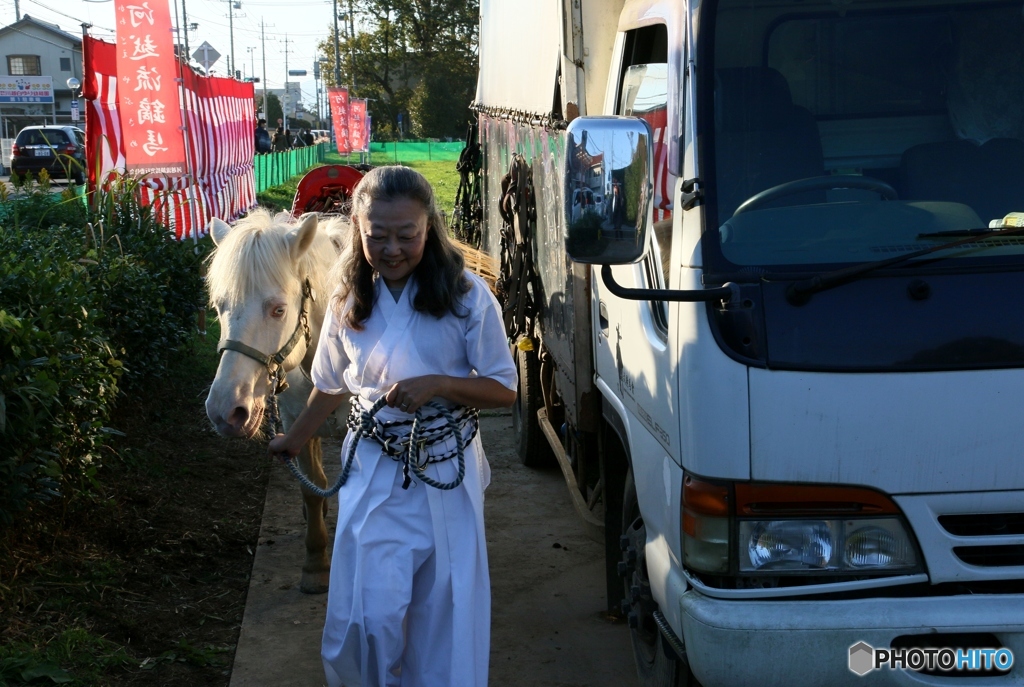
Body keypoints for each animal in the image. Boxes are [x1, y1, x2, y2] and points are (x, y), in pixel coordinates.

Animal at [203, 210, 352, 597]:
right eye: (219, 307)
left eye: (279, 310)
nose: (225, 410)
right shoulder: (296, 422)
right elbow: (310, 487)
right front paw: (315, 565)